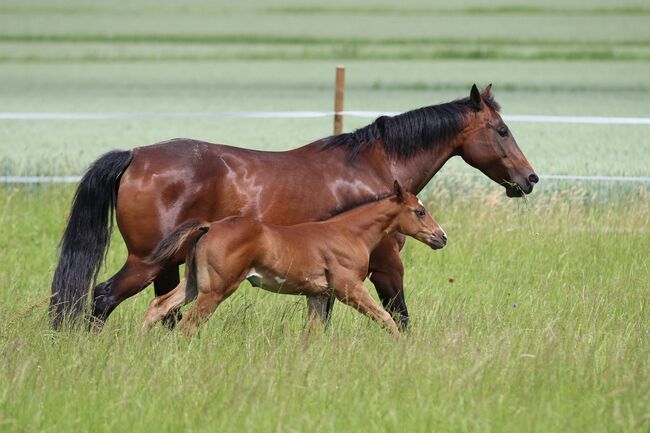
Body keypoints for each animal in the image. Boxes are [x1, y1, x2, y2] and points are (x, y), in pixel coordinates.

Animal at [140, 181, 446, 336]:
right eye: (420, 211)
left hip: (193, 284)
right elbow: (387, 319)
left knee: (159, 306)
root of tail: (210, 226)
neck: (349, 233)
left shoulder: (318, 295)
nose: (441, 237)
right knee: (187, 325)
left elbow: (314, 332)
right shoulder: (349, 289)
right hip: (215, 290)